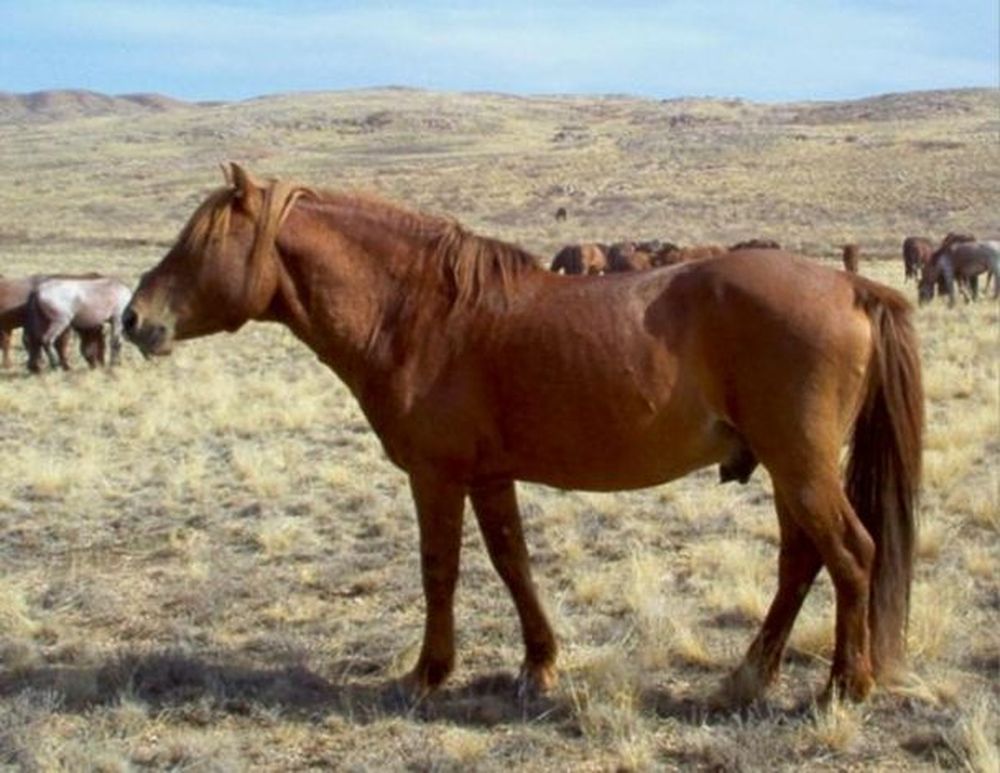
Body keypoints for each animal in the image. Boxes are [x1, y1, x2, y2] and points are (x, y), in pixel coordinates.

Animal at [127, 164, 928, 704]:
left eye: (197, 243)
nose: (134, 319)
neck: (420, 314)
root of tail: (851, 285)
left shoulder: (438, 475)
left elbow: (440, 569)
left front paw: (428, 674)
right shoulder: (489, 475)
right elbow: (513, 563)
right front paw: (538, 663)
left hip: (802, 466)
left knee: (851, 554)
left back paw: (845, 685)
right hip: (787, 468)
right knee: (801, 562)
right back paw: (749, 675)